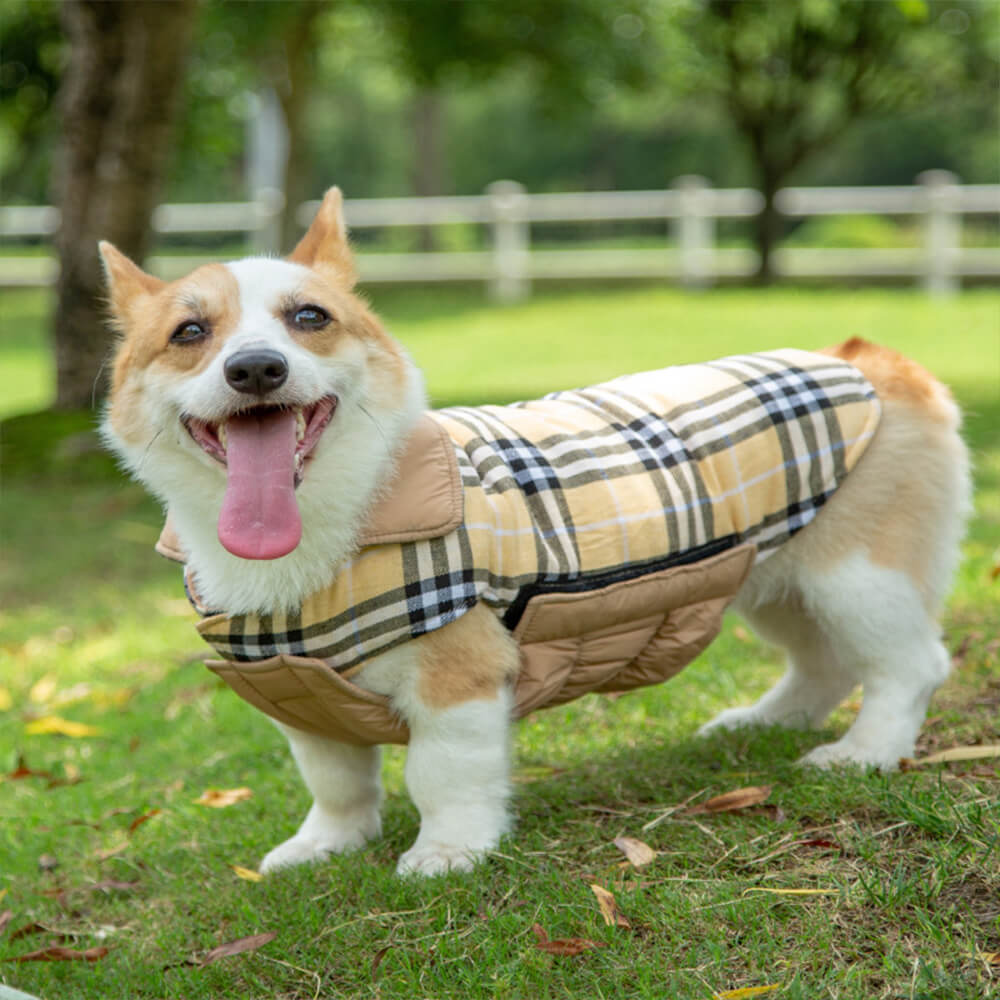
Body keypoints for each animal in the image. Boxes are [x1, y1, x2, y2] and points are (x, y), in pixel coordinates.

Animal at [99, 188, 968, 876]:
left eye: (309, 318)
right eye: (188, 333)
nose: (256, 370)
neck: (336, 524)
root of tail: (866, 358)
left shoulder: (461, 677)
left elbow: (443, 776)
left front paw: (447, 852)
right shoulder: (301, 690)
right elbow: (336, 781)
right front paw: (322, 847)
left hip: (854, 574)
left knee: (907, 664)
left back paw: (865, 751)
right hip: (768, 575)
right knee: (822, 662)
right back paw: (765, 719)